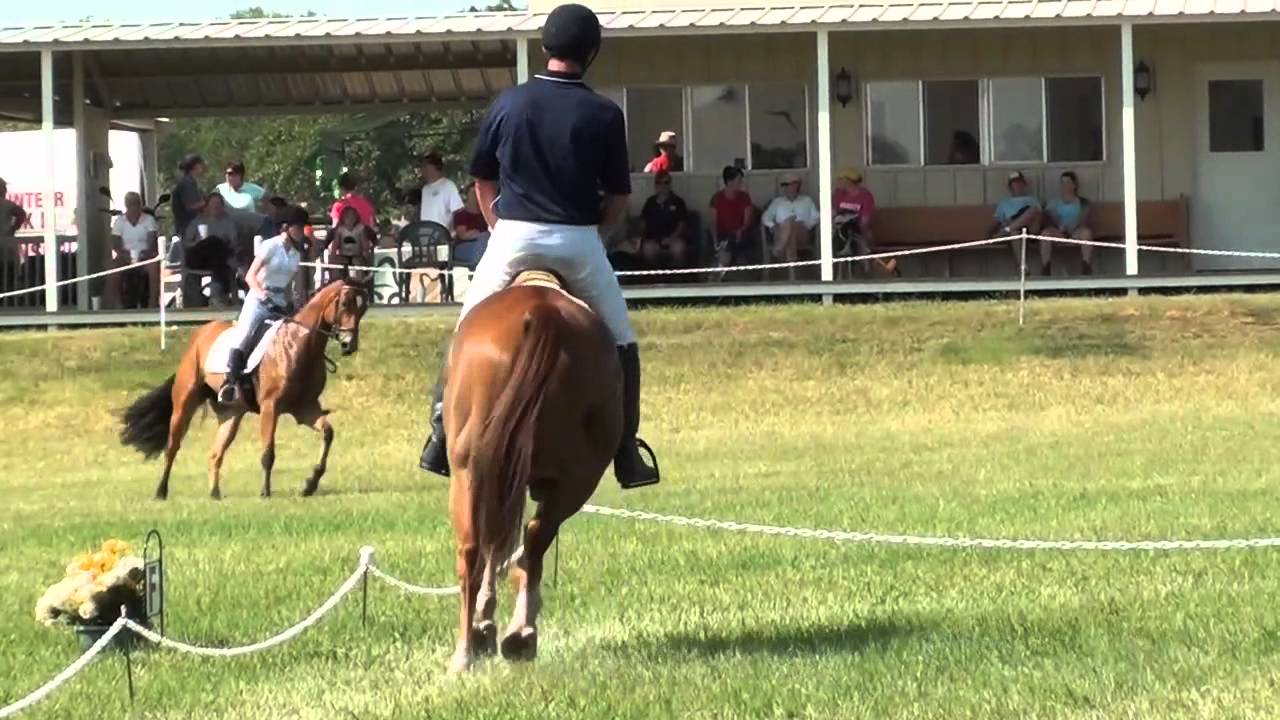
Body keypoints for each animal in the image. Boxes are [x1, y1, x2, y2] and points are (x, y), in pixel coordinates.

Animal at [119, 275, 373, 500]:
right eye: (345, 304)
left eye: (363, 309)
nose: (349, 345)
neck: (299, 345)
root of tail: (200, 333)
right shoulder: (271, 407)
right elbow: (268, 453)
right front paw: (265, 492)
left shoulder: (305, 408)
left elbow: (328, 434)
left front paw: (310, 484)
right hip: (184, 404)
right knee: (172, 448)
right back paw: (161, 492)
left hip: (231, 414)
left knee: (216, 453)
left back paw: (215, 494)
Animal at [444, 270, 623, 673]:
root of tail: (544, 313)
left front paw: (485, 623)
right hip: (572, 478)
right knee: (531, 537)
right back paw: (514, 634)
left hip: (472, 473)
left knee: (478, 549)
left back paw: (475, 648)